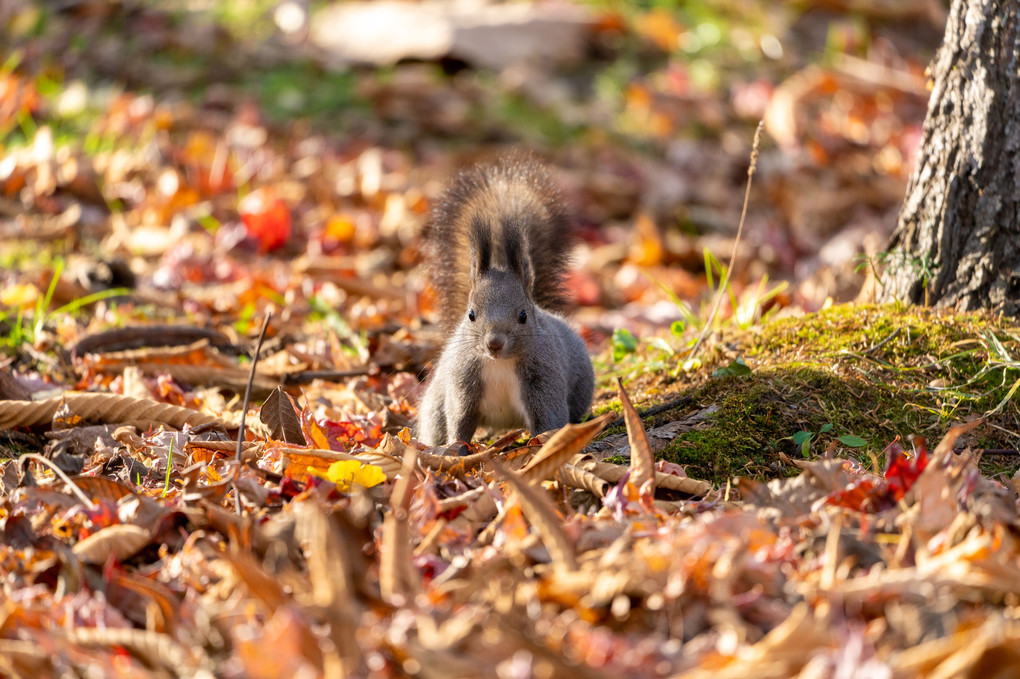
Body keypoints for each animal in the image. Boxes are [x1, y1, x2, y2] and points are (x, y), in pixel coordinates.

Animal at [414, 155, 595, 446]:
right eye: (471, 314)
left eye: (523, 316)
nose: (494, 343)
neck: (499, 364)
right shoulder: (463, 381)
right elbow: (460, 420)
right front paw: (455, 449)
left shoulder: (544, 380)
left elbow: (549, 421)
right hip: (435, 402)